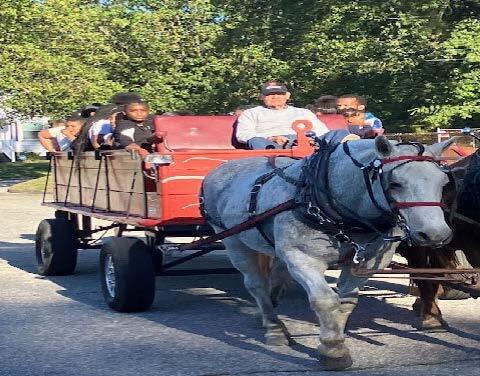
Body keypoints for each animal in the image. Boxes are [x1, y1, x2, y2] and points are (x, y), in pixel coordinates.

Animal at [202, 136, 454, 370]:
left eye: (444, 182)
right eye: (395, 183)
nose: (435, 233)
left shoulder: (366, 262)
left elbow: (346, 301)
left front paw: (335, 340)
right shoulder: (302, 258)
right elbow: (325, 300)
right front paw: (333, 350)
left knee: (277, 276)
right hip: (232, 239)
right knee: (256, 284)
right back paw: (274, 328)